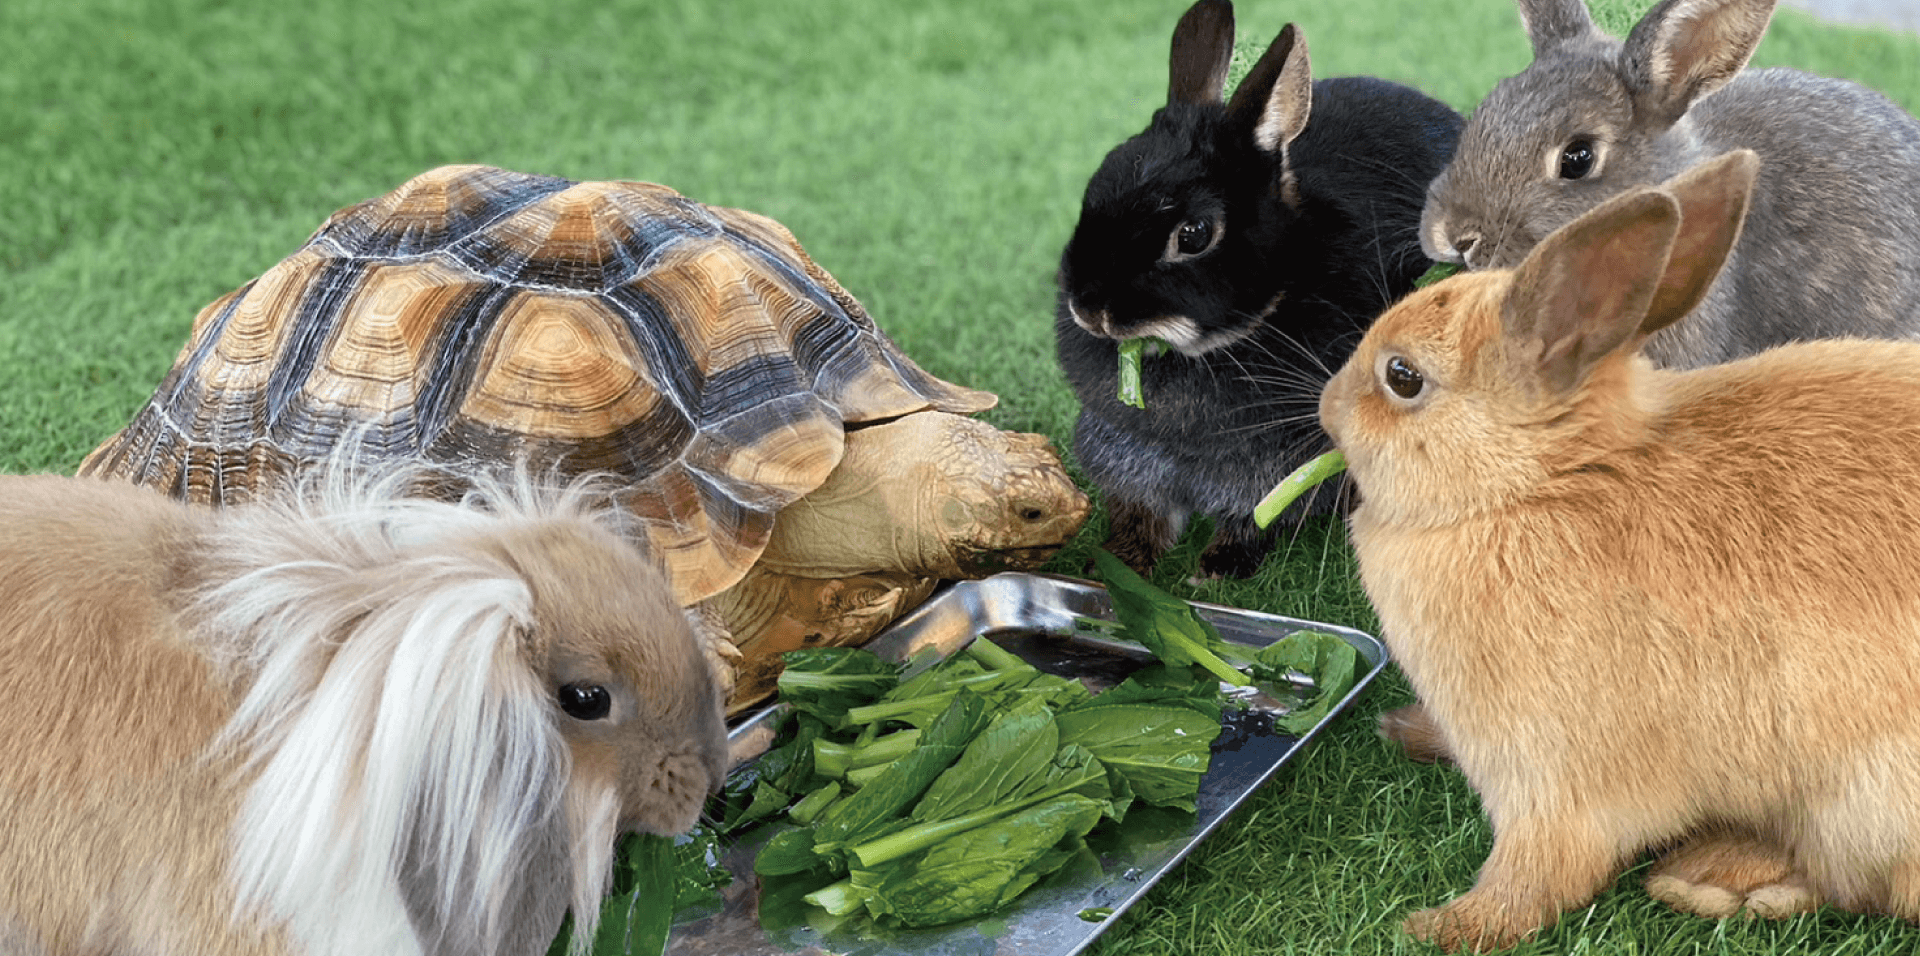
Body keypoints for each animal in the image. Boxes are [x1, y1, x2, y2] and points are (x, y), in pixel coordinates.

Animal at [1059, 0, 1459, 575]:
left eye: (1194, 235)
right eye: (1095, 188)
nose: (1090, 310)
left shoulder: (1280, 467)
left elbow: (1256, 519)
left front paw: (1218, 567)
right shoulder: (1125, 453)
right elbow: (1140, 513)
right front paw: (1117, 562)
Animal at [1328, 147, 1920, 948]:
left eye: (1403, 377)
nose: (1327, 404)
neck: (1539, 488)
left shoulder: (1552, 779)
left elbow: (1538, 875)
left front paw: (1439, 929)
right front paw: (1407, 730)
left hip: (1865, 807)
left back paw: (1713, 882)